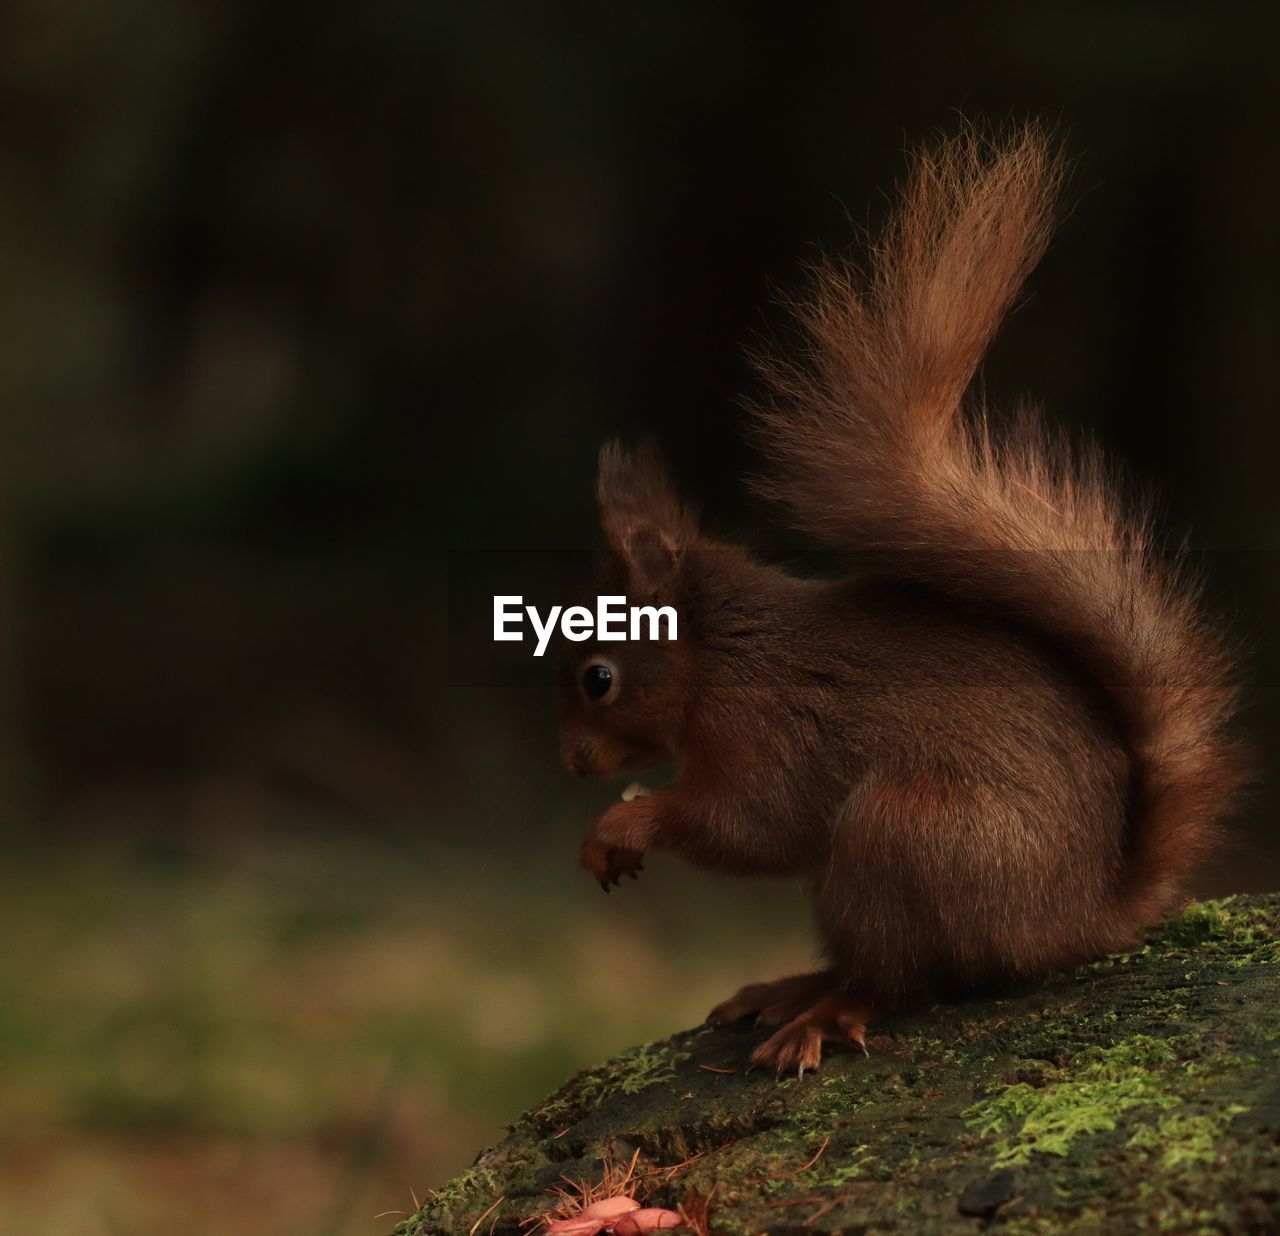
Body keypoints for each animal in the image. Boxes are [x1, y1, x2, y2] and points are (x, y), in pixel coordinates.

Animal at [558, 126, 1239, 1074]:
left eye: (598, 678)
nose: (570, 763)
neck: (723, 655)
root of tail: (1079, 921)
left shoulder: (766, 730)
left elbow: (746, 825)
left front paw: (622, 826)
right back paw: (790, 989)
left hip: (902, 835)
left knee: (900, 978)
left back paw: (824, 1017)